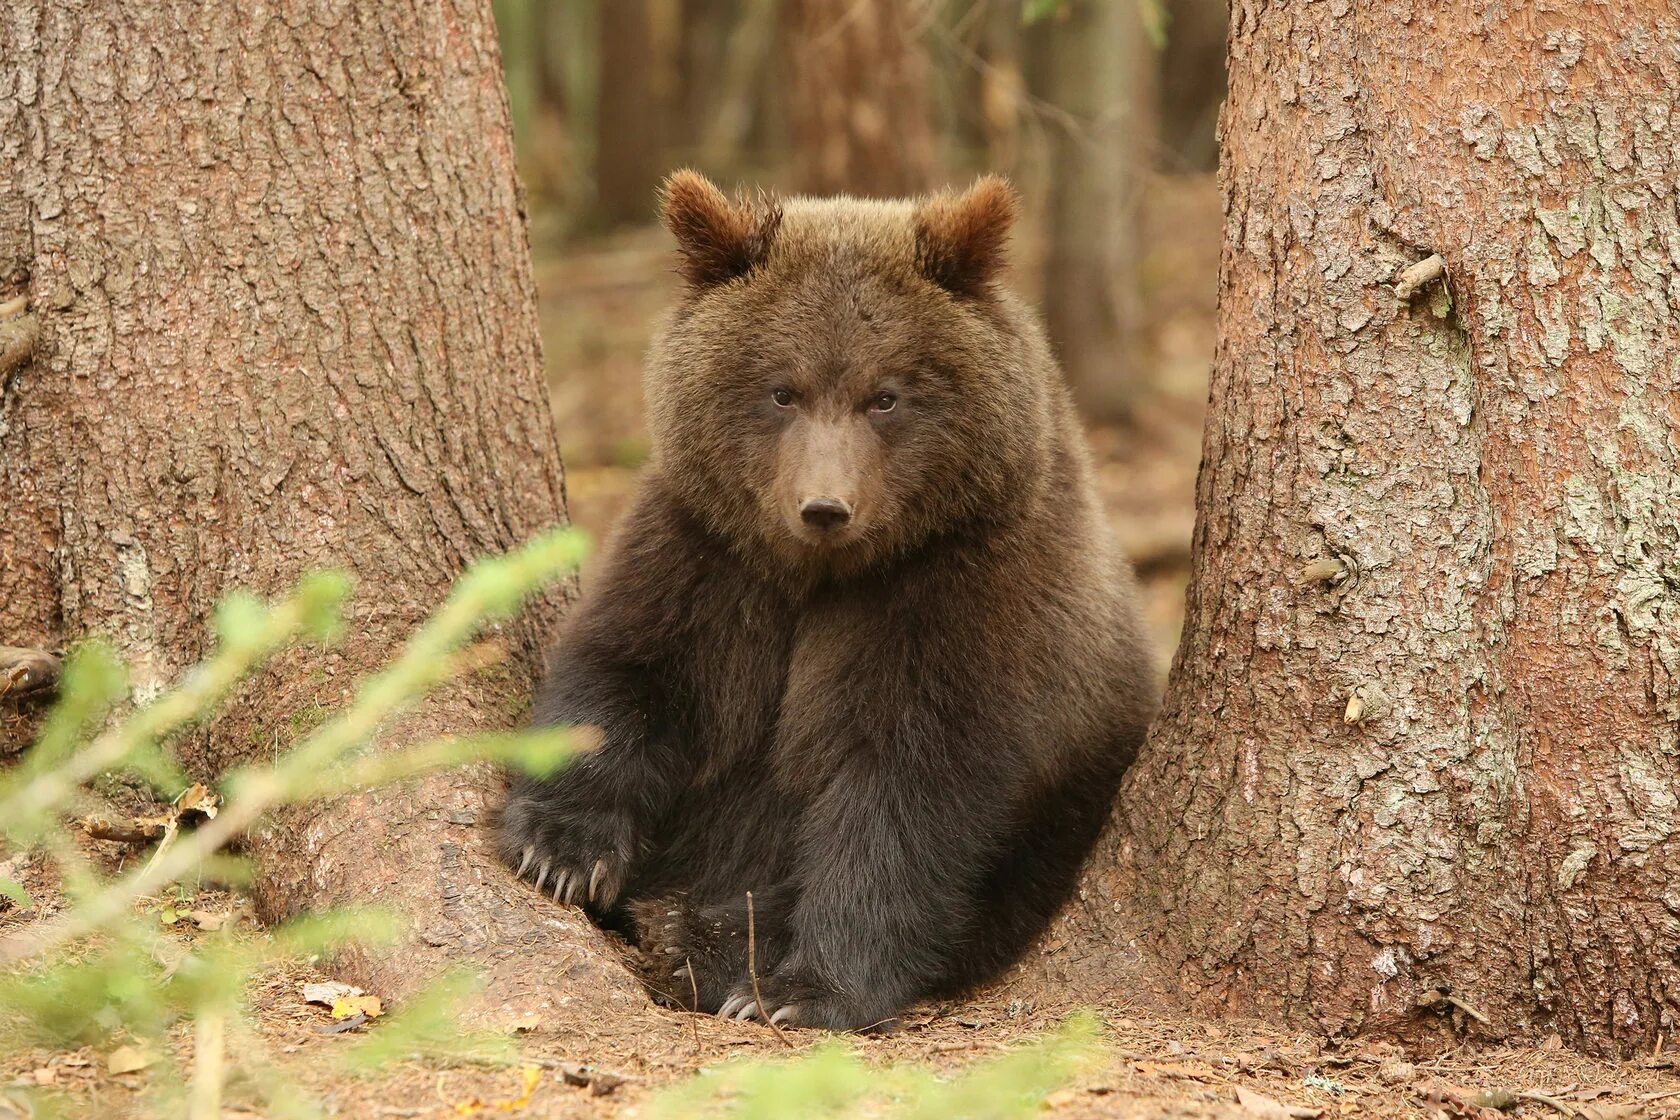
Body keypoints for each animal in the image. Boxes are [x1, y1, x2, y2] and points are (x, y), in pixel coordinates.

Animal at [493, 171, 1155, 1027]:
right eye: (783, 390)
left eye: (886, 395)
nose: (824, 507)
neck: (824, 575)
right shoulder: (711, 557)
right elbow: (630, 672)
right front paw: (561, 850)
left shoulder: (965, 599)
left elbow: (902, 794)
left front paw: (801, 991)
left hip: (1071, 803)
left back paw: (695, 937)